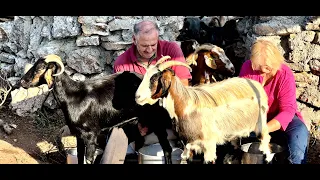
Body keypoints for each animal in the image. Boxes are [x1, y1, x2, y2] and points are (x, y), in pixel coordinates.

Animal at [18, 54, 175, 165]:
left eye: (40, 68)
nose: (22, 82)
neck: (72, 96)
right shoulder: (79, 135)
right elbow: (79, 158)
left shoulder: (90, 136)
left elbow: (88, 160)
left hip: (157, 121)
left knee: (167, 149)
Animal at [134, 56, 272, 163]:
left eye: (154, 78)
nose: (137, 97)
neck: (186, 105)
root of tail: (255, 84)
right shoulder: (188, 145)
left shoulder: (209, 145)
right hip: (234, 132)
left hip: (260, 126)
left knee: (267, 148)